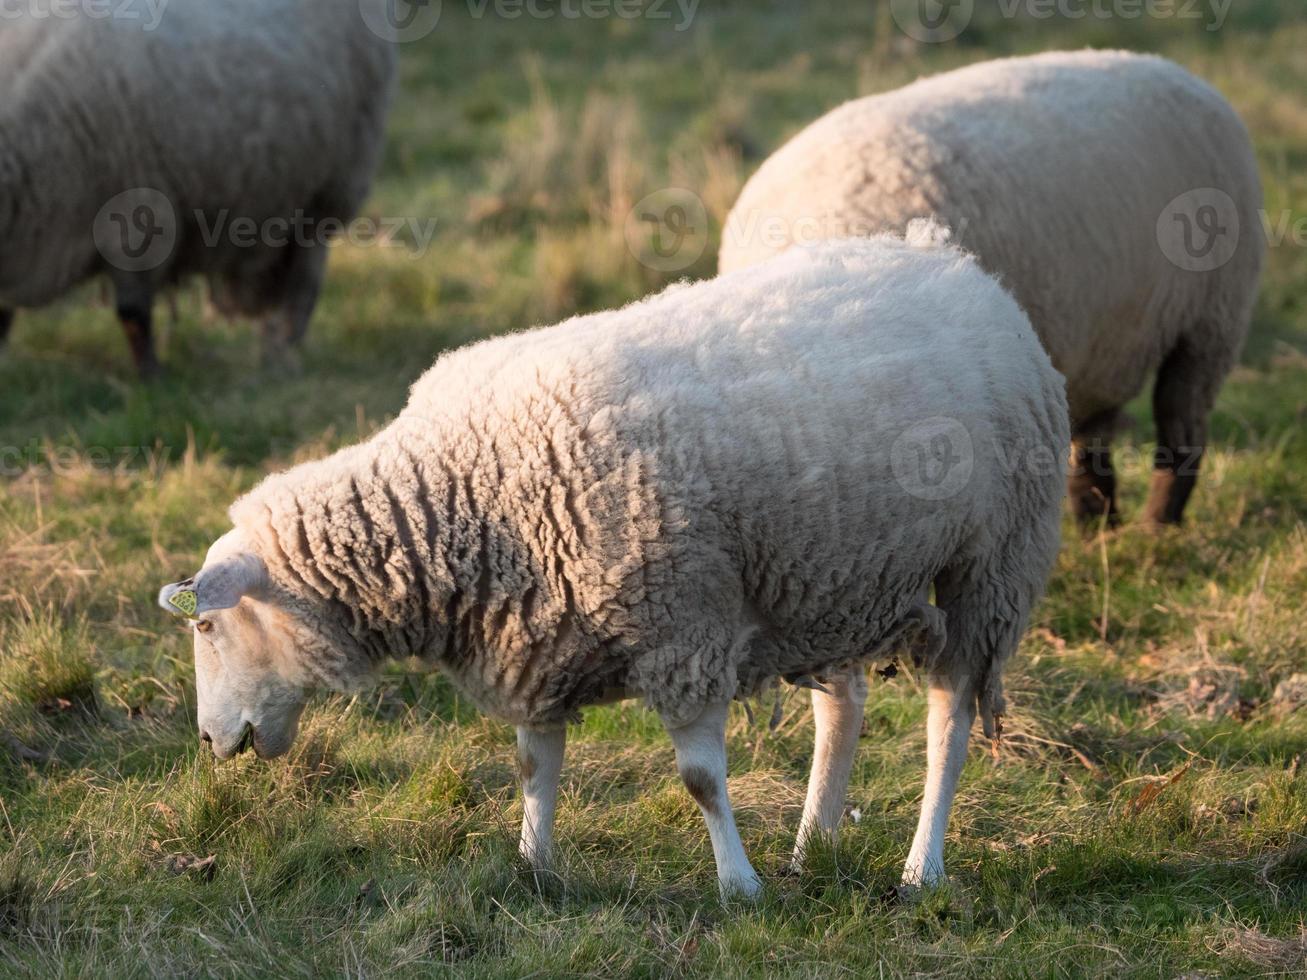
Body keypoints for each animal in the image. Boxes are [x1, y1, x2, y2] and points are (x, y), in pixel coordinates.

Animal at [1, 0, 397, 376]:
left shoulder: (136, 217)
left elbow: (133, 311)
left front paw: (152, 377)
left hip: (331, 185)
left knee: (304, 280)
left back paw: (281, 352)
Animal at [158, 228, 1066, 898]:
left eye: (207, 627)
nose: (207, 743)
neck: (465, 487)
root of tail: (958, 266)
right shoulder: (530, 637)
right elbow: (533, 764)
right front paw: (533, 865)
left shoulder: (680, 628)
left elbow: (699, 780)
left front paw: (738, 887)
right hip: (828, 576)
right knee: (840, 711)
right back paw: (813, 845)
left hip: (989, 565)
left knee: (948, 719)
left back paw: (920, 867)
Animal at [721, 48, 1259, 530]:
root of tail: (1173, 68)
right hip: (1106, 339)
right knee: (1092, 435)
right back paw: (1099, 524)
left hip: (1213, 319)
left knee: (1181, 422)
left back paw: (1157, 525)